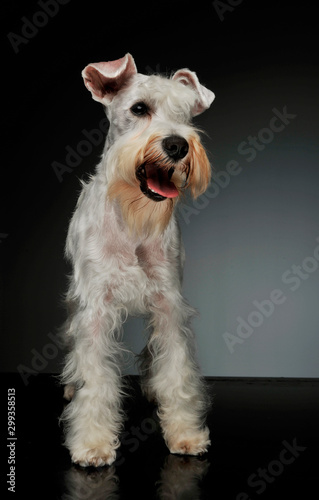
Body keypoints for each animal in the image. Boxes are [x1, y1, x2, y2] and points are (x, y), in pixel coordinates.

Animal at [60, 52, 215, 466]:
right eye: (139, 108)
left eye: (185, 114)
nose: (177, 145)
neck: (134, 217)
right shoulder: (95, 309)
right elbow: (95, 376)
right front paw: (93, 443)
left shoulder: (168, 303)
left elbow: (175, 369)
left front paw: (184, 433)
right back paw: (70, 385)